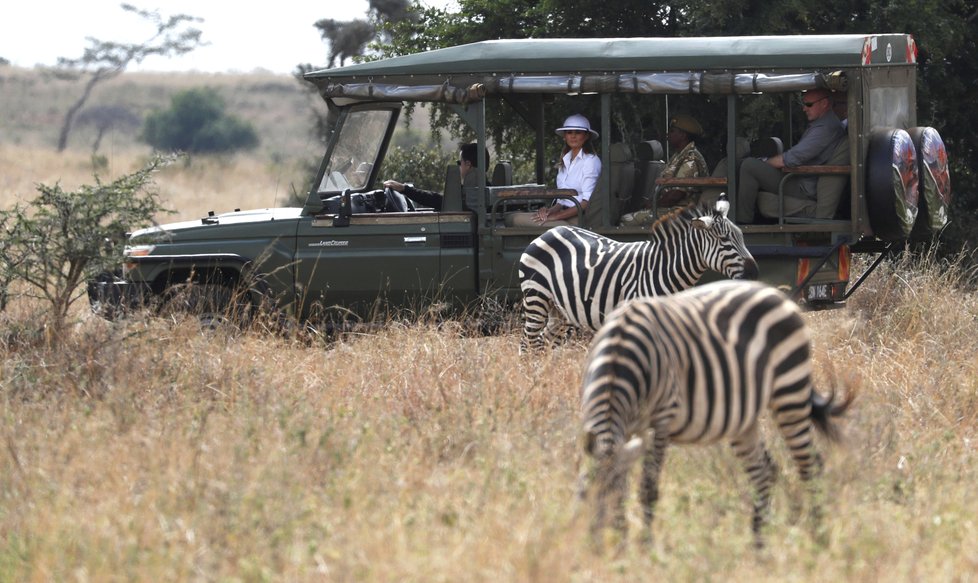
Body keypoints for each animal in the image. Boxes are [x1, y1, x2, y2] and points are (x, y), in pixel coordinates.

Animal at [520, 196, 756, 352]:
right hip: (536, 298)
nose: (754, 272)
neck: (664, 269)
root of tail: (548, 232)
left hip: (561, 311)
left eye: (742, 236)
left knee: (543, 342)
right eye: (725, 240)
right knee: (528, 342)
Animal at [576, 280, 852, 548]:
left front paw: (646, 548)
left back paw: (818, 538)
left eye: (614, 496)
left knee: (810, 466)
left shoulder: (661, 419)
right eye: (582, 494)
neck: (619, 355)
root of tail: (775, 293)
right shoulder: (625, 428)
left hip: (789, 391)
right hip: (743, 418)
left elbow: (648, 487)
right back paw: (758, 546)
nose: (596, 548)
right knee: (764, 471)